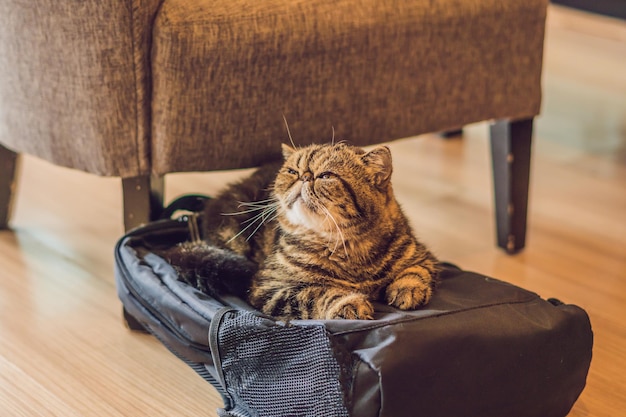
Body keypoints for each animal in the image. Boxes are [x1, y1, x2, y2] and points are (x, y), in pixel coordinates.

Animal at [166, 141, 438, 320]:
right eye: (292, 171)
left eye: (326, 175)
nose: (304, 177)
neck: (349, 249)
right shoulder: (270, 287)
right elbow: (317, 293)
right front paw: (348, 303)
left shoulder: (423, 255)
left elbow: (415, 271)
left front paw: (407, 289)